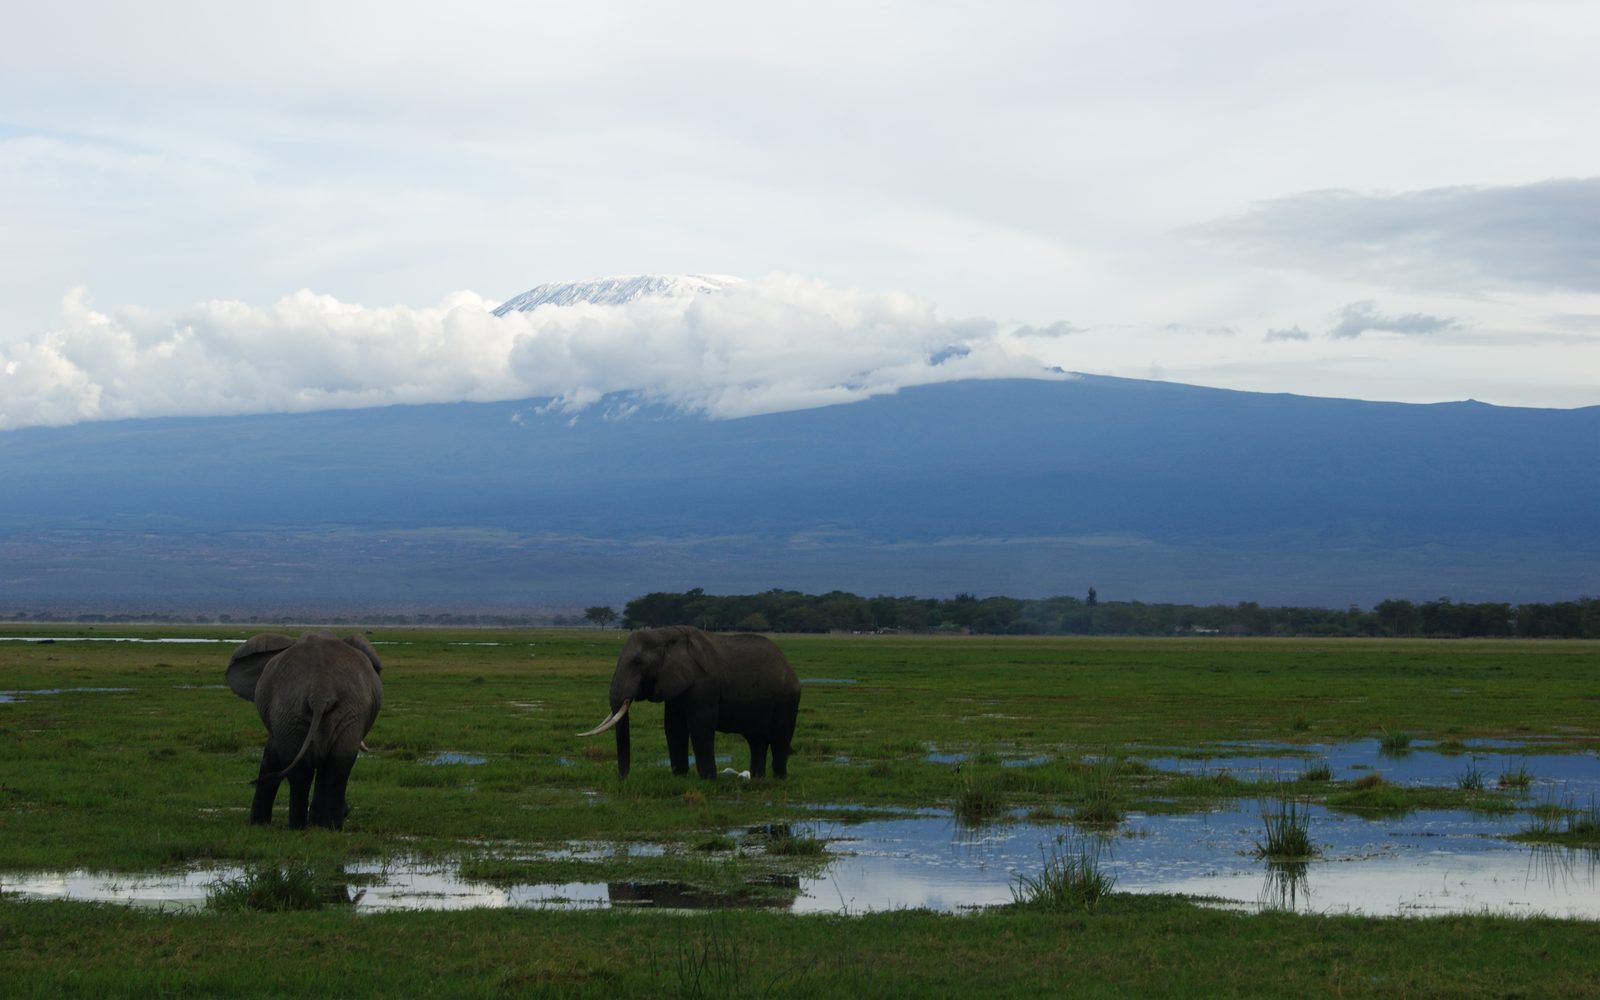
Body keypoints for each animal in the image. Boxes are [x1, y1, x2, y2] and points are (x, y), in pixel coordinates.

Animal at [226, 631, 383, 829]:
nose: (348, 810)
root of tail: (321, 691)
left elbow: (271, 758)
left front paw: (258, 823)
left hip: (299, 712)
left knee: (310, 770)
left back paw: (303, 827)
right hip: (322, 712)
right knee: (336, 765)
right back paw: (325, 827)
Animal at [579, 625, 800, 780]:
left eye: (638, 663)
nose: (622, 779)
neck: (666, 634)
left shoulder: (704, 684)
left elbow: (700, 726)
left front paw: (709, 780)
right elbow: (673, 726)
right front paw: (680, 777)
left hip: (787, 700)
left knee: (779, 739)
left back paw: (779, 779)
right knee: (757, 741)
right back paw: (758, 779)